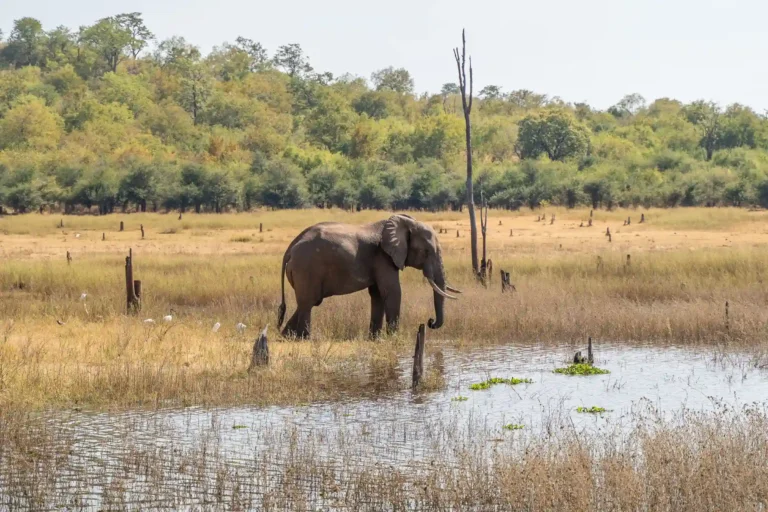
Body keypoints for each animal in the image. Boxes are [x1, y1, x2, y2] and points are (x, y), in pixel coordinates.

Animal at [277, 214, 461, 339]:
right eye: (426, 252)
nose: (430, 322)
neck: (406, 222)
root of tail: (290, 249)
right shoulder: (383, 257)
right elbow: (392, 292)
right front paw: (393, 338)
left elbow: (377, 294)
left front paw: (375, 339)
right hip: (306, 269)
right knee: (308, 303)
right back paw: (304, 339)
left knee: (308, 302)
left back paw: (287, 337)